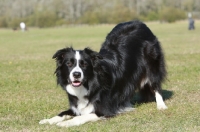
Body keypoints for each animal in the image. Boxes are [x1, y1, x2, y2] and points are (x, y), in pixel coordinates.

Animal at [39, 20, 167, 127]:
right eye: (69, 64)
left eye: (84, 64)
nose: (76, 74)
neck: (90, 84)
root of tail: (139, 22)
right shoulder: (77, 107)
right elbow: (62, 113)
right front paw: (47, 120)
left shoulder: (104, 110)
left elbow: (82, 116)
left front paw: (66, 123)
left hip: (152, 63)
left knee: (155, 84)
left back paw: (161, 105)